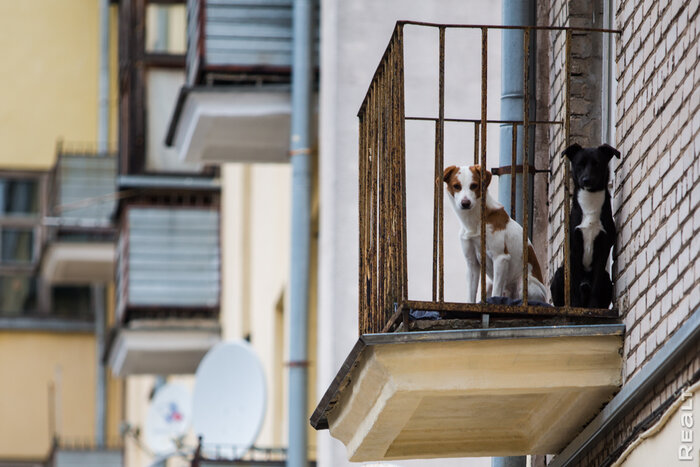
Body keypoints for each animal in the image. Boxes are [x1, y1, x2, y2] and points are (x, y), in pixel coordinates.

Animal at [442, 165, 548, 304]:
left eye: (474, 185)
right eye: (456, 186)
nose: (465, 203)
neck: (474, 221)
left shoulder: (500, 258)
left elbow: (496, 293)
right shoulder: (472, 263)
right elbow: (471, 295)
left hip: (524, 283)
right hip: (489, 284)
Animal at [552, 144, 616, 308]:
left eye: (597, 164)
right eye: (579, 164)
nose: (586, 180)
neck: (590, 202)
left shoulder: (603, 249)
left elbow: (596, 285)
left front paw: (593, 307)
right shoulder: (573, 249)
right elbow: (573, 286)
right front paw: (574, 305)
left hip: (607, 280)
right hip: (559, 274)